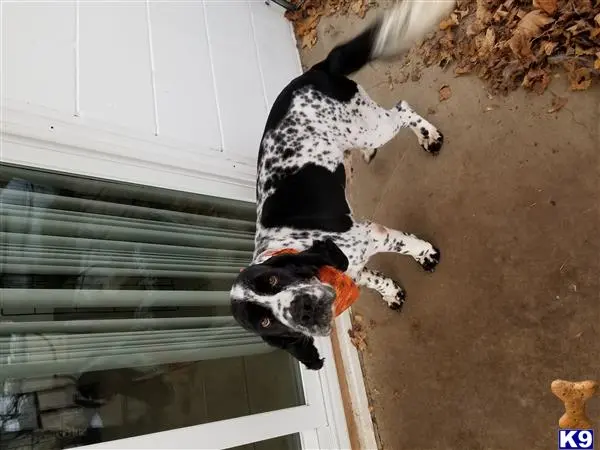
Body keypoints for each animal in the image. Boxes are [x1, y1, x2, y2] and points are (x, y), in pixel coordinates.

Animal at [230, 0, 454, 370]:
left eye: (273, 280)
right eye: (266, 321)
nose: (302, 310)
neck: (289, 247)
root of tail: (313, 71)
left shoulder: (373, 235)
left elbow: (407, 245)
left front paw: (425, 255)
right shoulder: (355, 266)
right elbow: (375, 280)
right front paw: (391, 293)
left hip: (374, 127)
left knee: (402, 109)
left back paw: (427, 135)